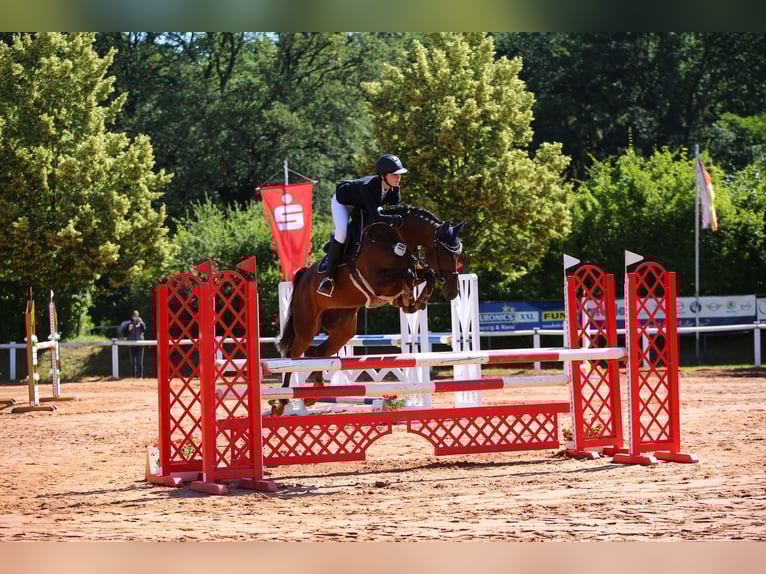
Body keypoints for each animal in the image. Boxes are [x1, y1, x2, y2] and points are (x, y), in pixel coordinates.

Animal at [273, 204, 465, 415]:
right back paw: (281, 402)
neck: (396, 239)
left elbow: (426, 274)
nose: (453, 292)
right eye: (444, 253)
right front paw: (409, 298)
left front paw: (415, 302)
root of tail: (302, 276)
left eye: (457, 254)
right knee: (293, 355)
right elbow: (409, 274)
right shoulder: (379, 282)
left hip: (343, 329)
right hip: (307, 326)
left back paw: (313, 394)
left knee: (318, 353)